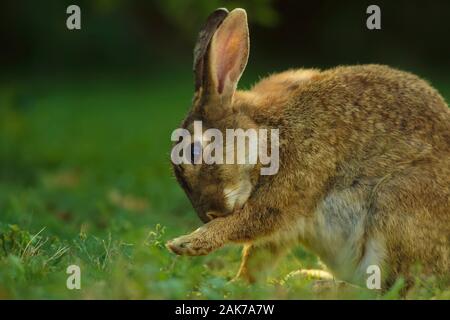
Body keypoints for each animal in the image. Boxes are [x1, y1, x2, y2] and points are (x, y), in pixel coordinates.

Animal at [166, 7, 450, 288]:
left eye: (194, 152)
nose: (210, 214)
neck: (266, 135)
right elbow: (257, 256)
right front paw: (236, 283)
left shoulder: (289, 191)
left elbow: (247, 223)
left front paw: (185, 243)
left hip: (394, 205)